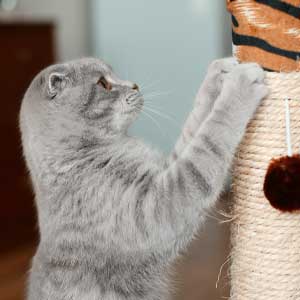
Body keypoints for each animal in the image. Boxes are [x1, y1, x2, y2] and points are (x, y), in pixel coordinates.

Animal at [19, 56, 268, 300]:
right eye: (103, 83)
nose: (134, 85)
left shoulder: (165, 169)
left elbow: (196, 123)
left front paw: (218, 72)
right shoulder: (162, 205)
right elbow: (210, 137)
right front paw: (240, 85)